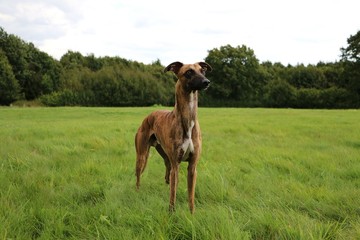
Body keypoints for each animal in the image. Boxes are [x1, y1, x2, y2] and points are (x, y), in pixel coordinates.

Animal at [136, 61, 212, 213]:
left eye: (203, 71)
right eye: (188, 72)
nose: (206, 82)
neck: (188, 120)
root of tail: (148, 117)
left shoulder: (192, 167)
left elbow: (190, 196)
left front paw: (192, 214)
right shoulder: (176, 164)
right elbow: (173, 195)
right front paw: (171, 213)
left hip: (165, 154)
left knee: (167, 170)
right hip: (142, 155)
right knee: (138, 176)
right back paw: (137, 191)